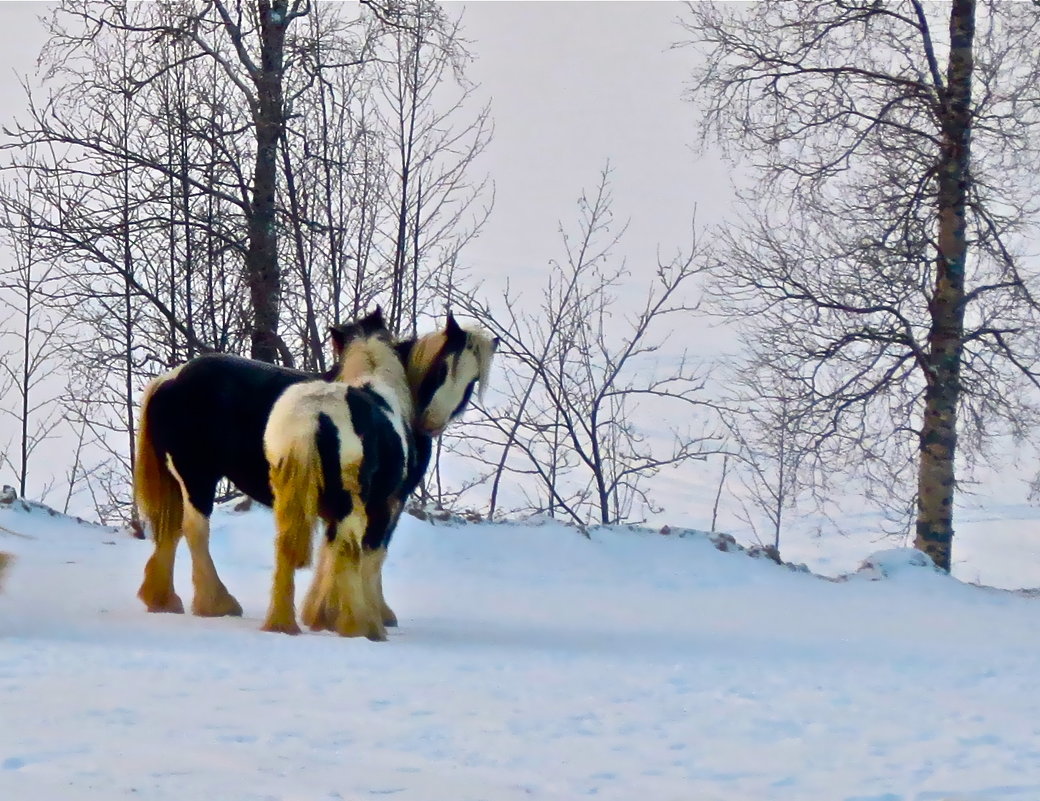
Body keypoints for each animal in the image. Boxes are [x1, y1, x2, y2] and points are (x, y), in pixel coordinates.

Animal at [134, 307, 499, 636]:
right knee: (197, 531)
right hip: (199, 477)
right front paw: (372, 613)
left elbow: (330, 551)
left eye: (471, 380)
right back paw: (220, 604)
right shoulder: (387, 502)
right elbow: (371, 553)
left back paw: (169, 600)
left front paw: (322, 612)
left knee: (173, 529)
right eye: (441, 370)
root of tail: (171, 377)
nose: (430, 423)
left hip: (188, 480)